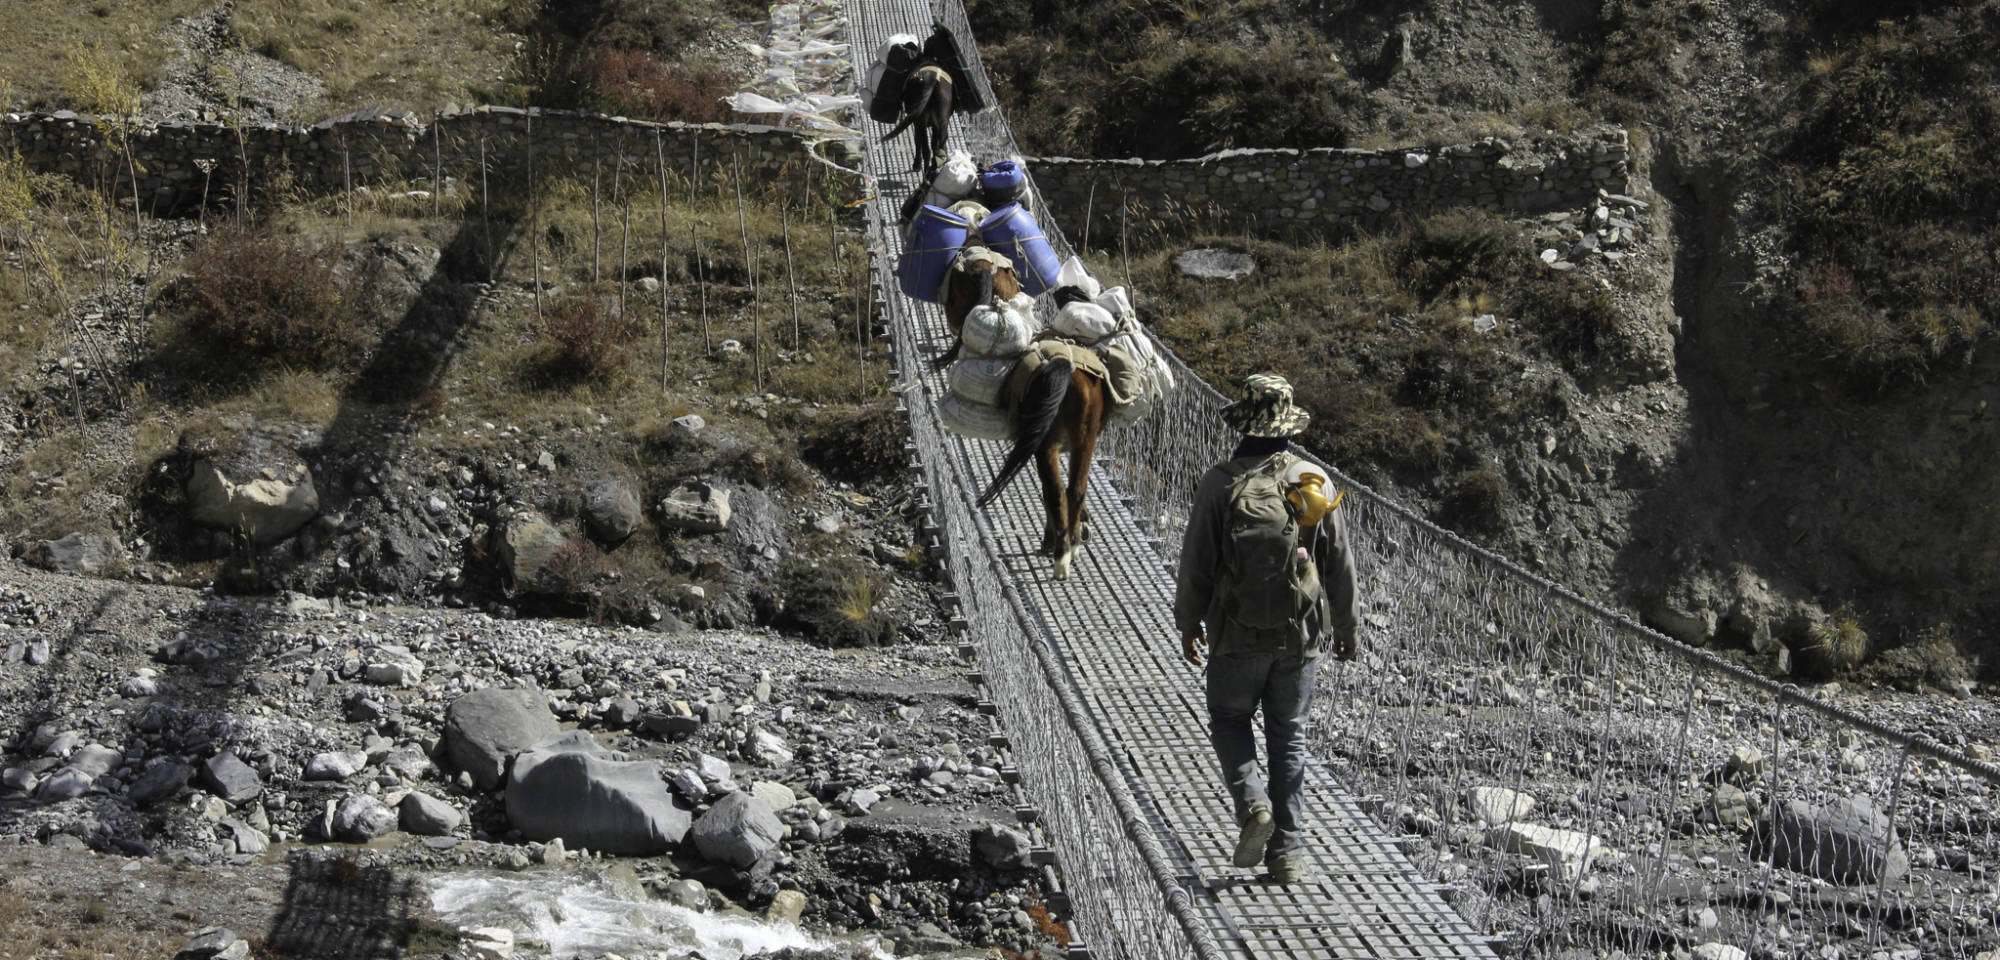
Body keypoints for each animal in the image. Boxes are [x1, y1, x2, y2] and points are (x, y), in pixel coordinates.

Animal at [936, 249, 1112, 576]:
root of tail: (1064, 365)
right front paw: (1078, 527)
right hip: (1080, 439)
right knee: (1072, 489)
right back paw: (1068, 548)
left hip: (1051, 442)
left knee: (1057, 491)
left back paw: (1061, 553)